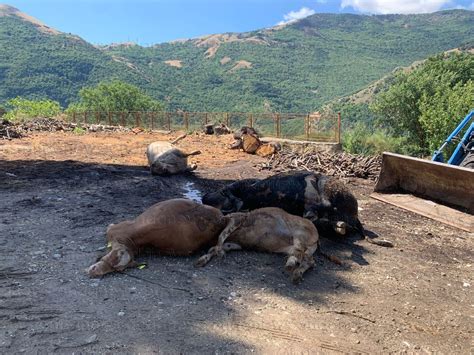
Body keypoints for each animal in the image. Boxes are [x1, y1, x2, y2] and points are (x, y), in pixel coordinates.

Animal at [89, 200, 230, 278]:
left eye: (119, 269)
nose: (94, 272)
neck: (132, 242)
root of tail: (221, 218)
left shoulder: (114, 229)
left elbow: (109, 227)